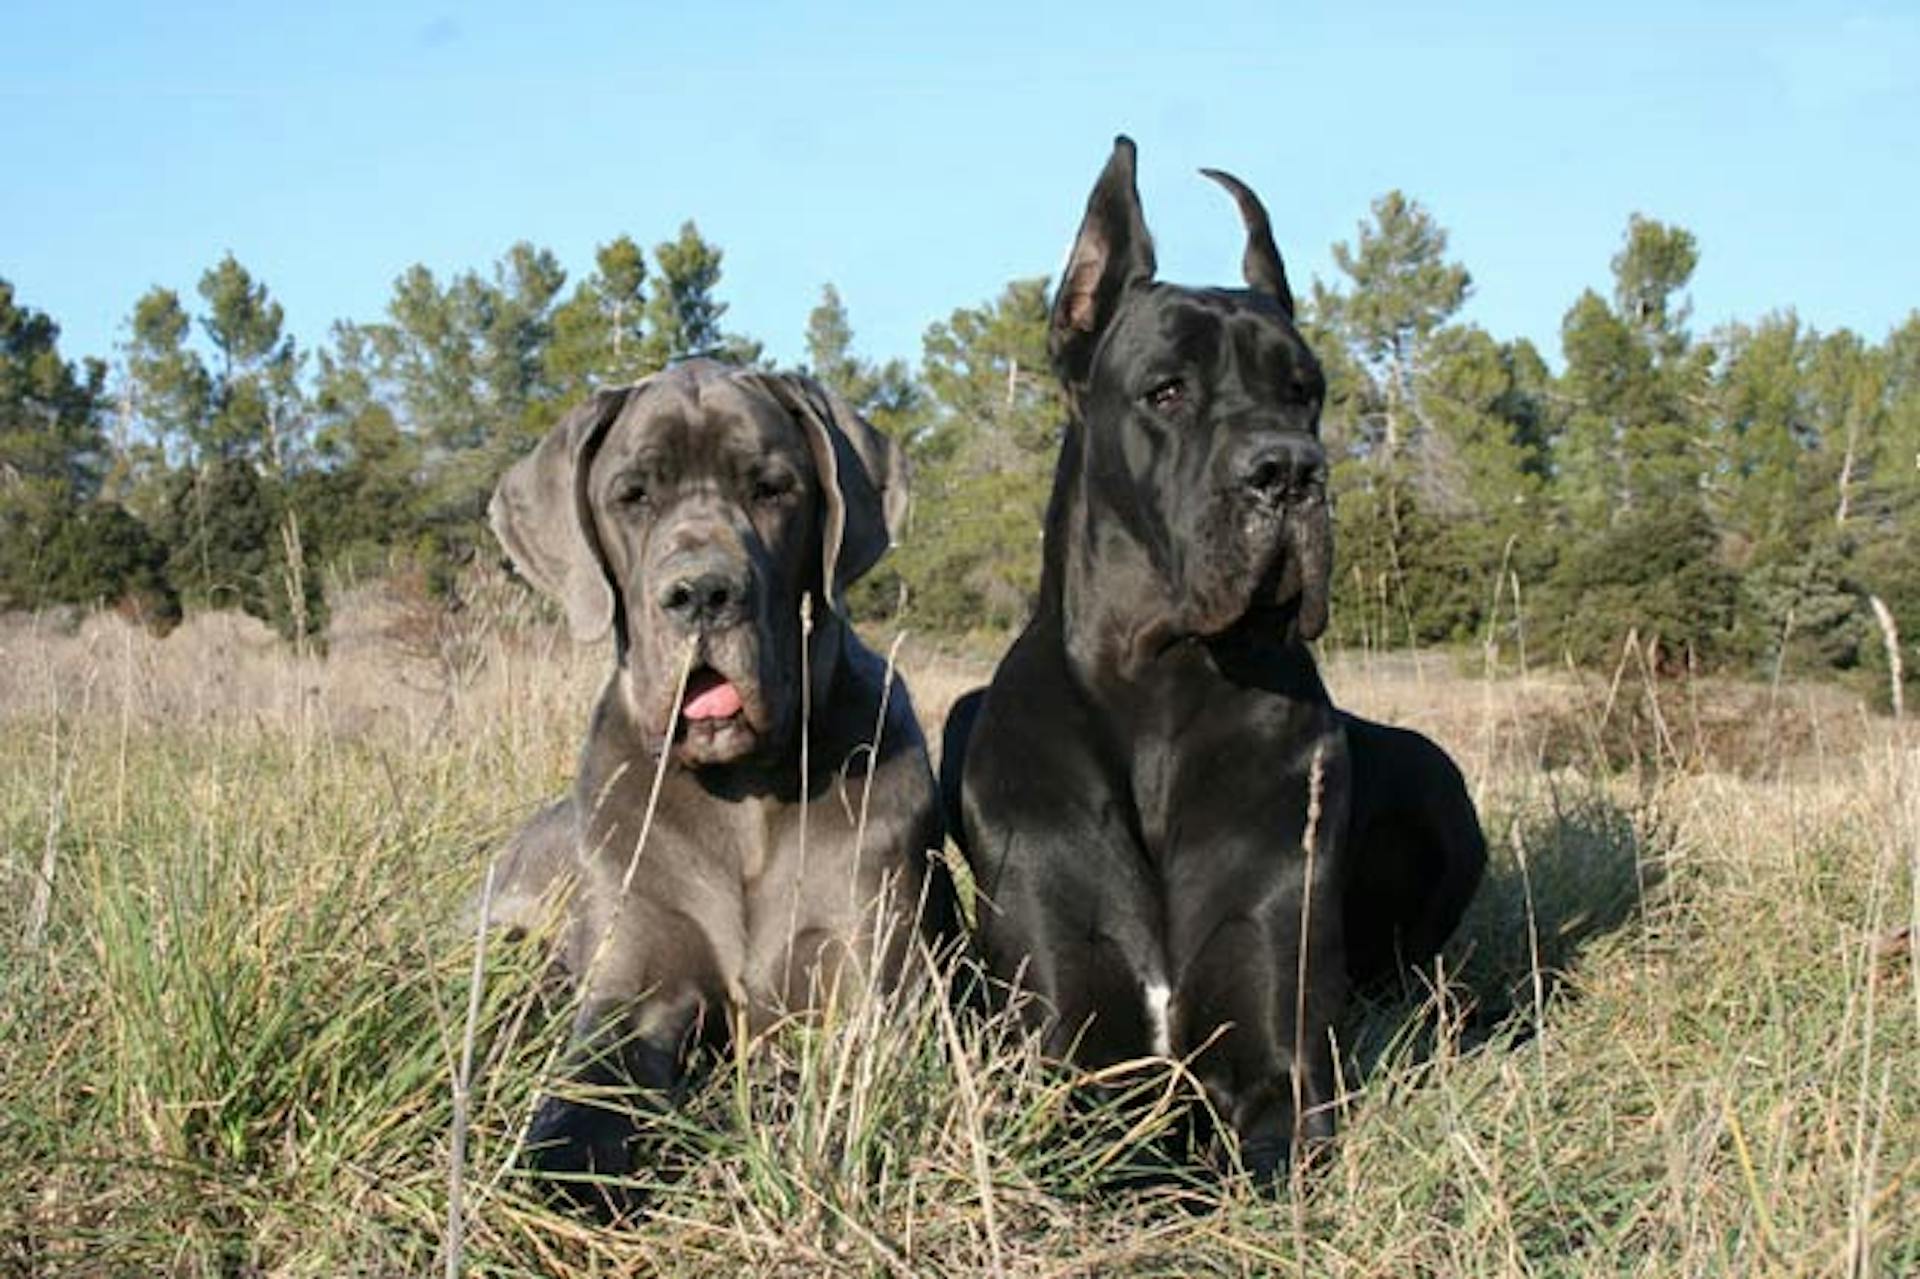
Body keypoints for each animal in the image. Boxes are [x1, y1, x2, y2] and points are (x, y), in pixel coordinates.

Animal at [944, 139, 1482, 1175]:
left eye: (1305, 391)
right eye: (1168, 390)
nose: (1290, 471)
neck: (1159, 687)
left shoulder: (1283, 1066)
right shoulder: (1057, 1057)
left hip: (1439, 779)